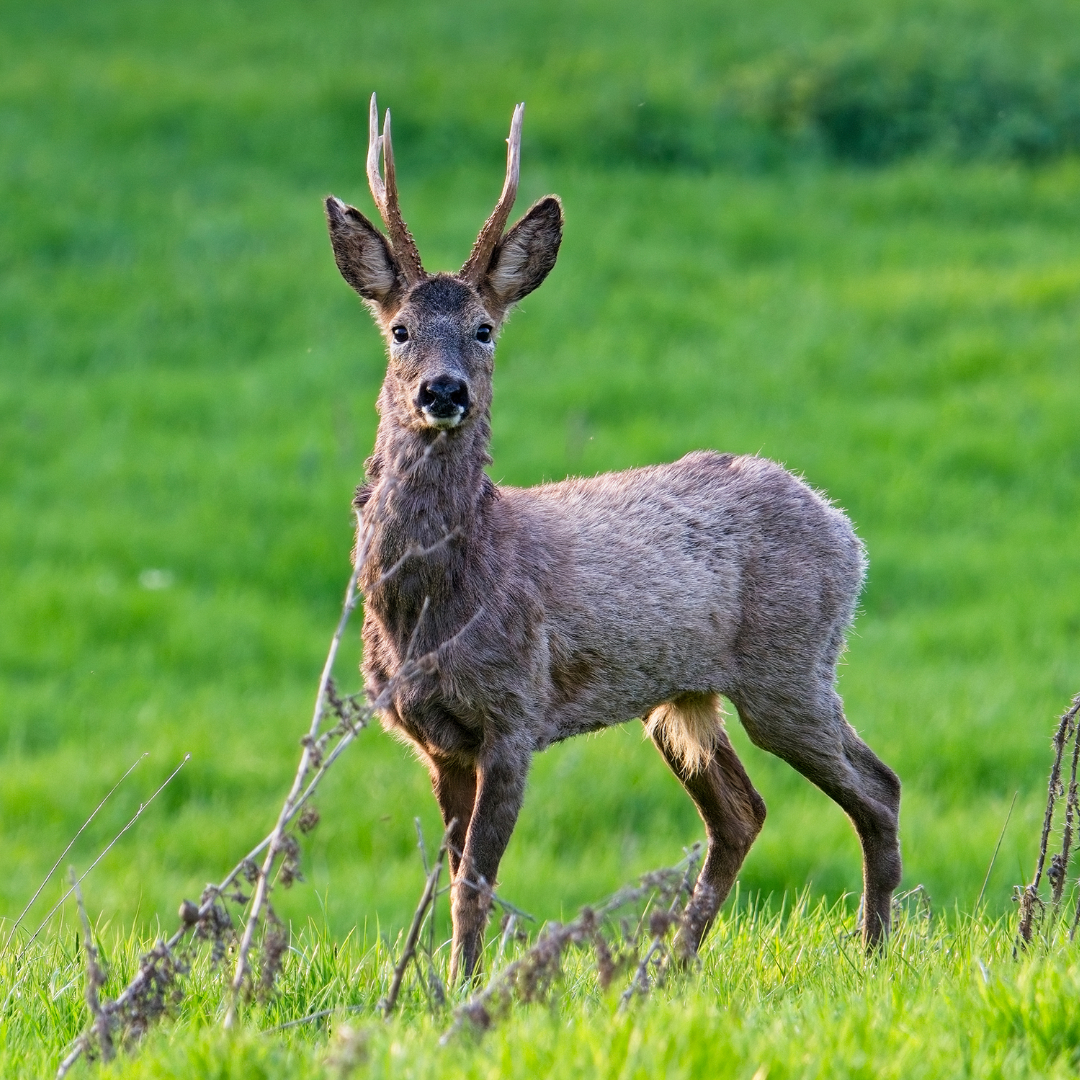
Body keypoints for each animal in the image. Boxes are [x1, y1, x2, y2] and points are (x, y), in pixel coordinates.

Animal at [323, 95, 902, 984]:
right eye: (399, 329)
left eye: (485, 328)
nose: (443, 392)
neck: (439, 601)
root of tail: (846, 529)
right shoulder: (435, 739)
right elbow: (453, 875)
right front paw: (447, 987)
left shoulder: (514, 712)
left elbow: (475, 882)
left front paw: (463, 993)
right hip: (680, 697)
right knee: (742, 813)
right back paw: (670, 967)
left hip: (791, 667)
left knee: (878, 787)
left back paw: (870, 953)